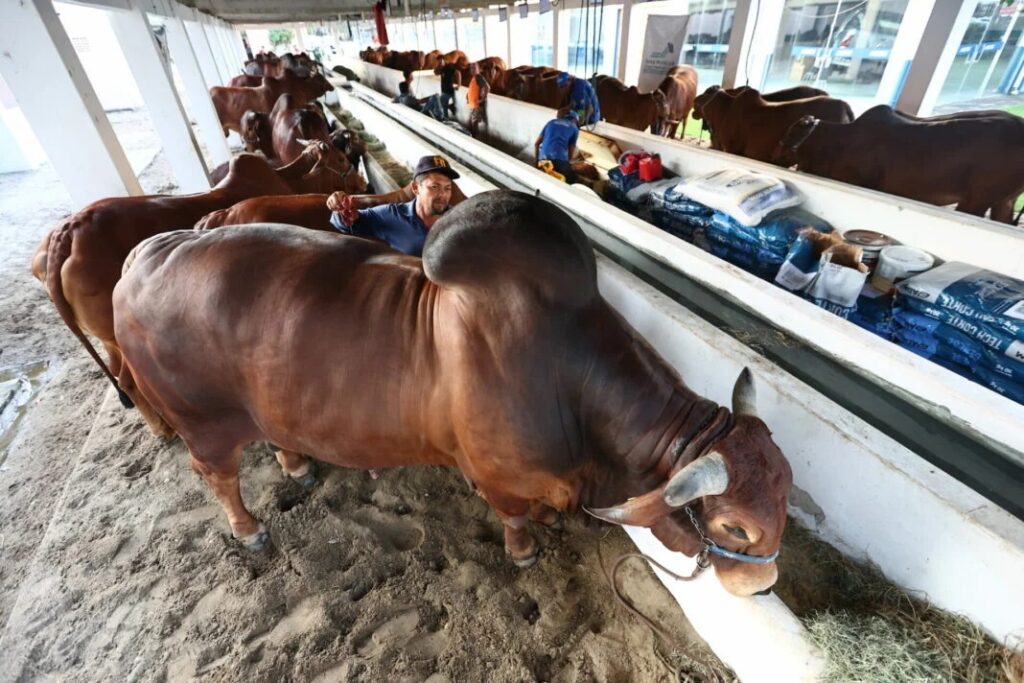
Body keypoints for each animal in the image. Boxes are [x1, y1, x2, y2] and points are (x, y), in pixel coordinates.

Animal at [114, 189, 798, 593]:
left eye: (787, 494)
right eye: (735, 528)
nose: (762, 586)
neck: (567, 379)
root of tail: (147, 253)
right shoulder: (501, 475)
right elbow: (514, 518)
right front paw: (524, 551)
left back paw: (297, 465)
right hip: (203, 424)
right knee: (219, 476)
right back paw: (249, 527)